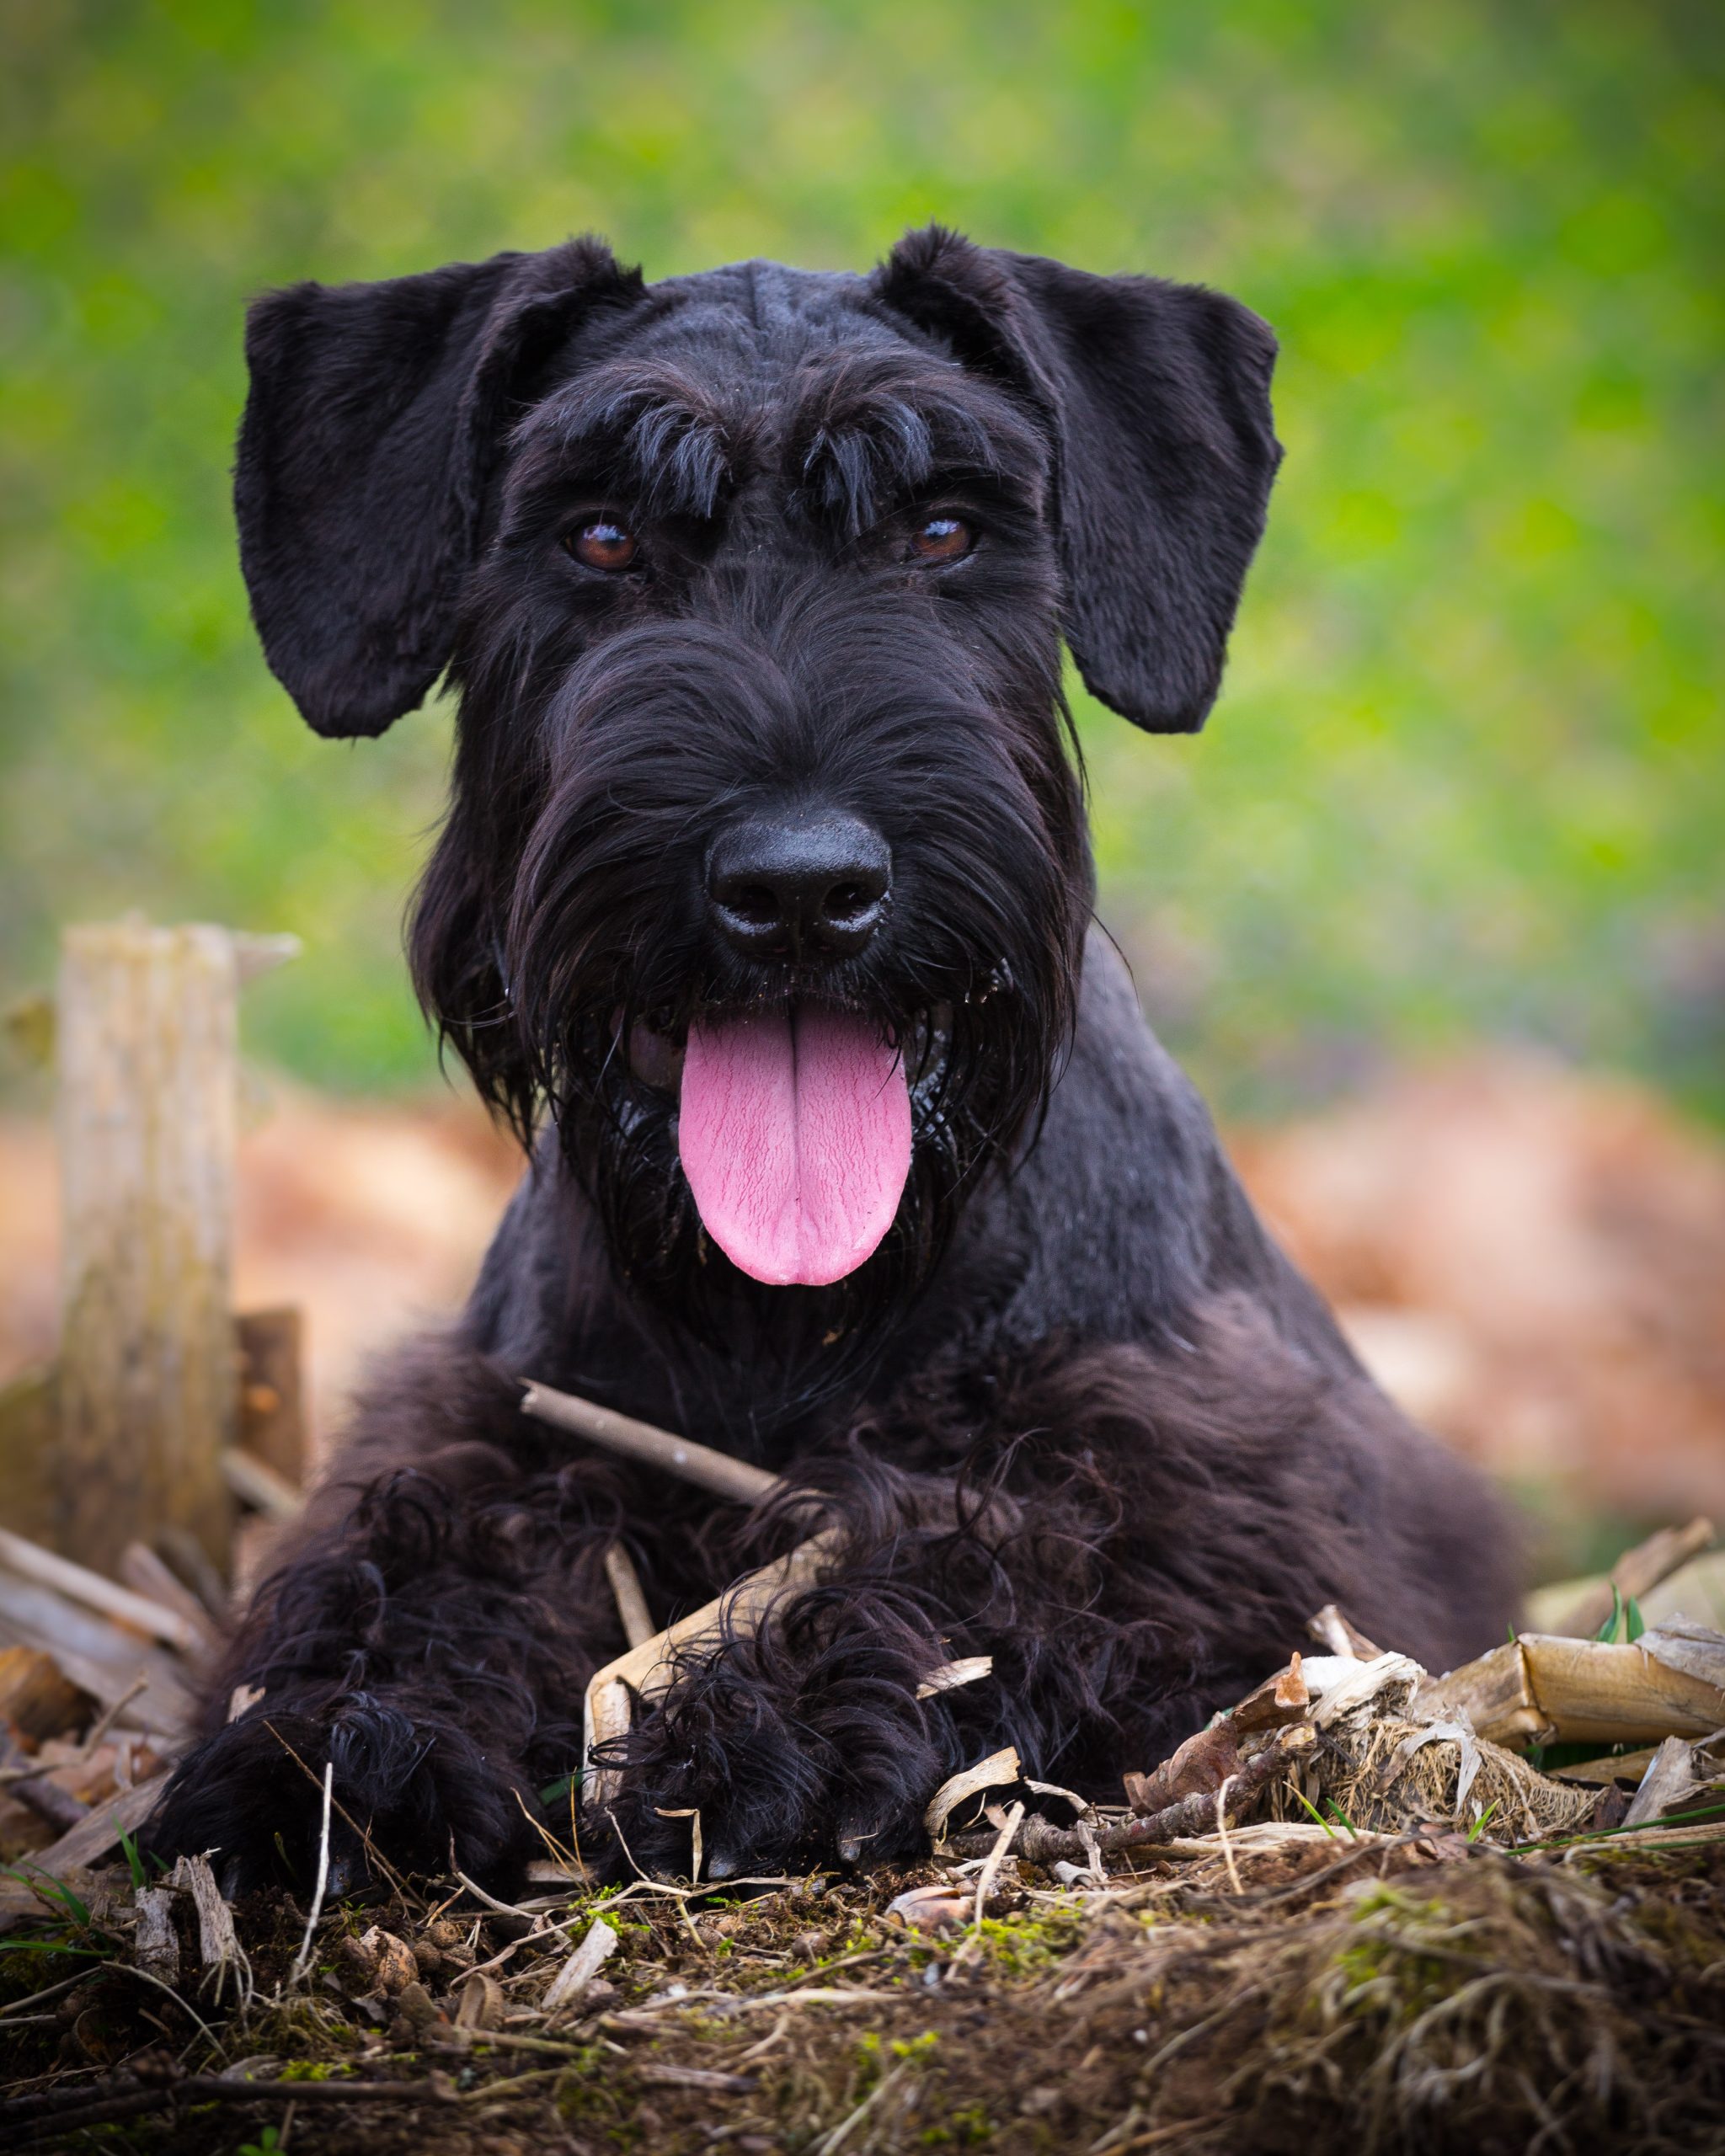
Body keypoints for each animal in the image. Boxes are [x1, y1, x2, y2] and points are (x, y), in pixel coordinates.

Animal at [152, 227, 1526, 1897]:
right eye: (600, 536)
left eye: (942, 528)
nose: (800, 887)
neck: (791, 1311)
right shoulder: (499, 1423)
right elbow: (416, 1548)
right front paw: (338, 1736)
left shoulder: (1251, 1497)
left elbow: (1004, 1549)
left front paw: (771, 1726)